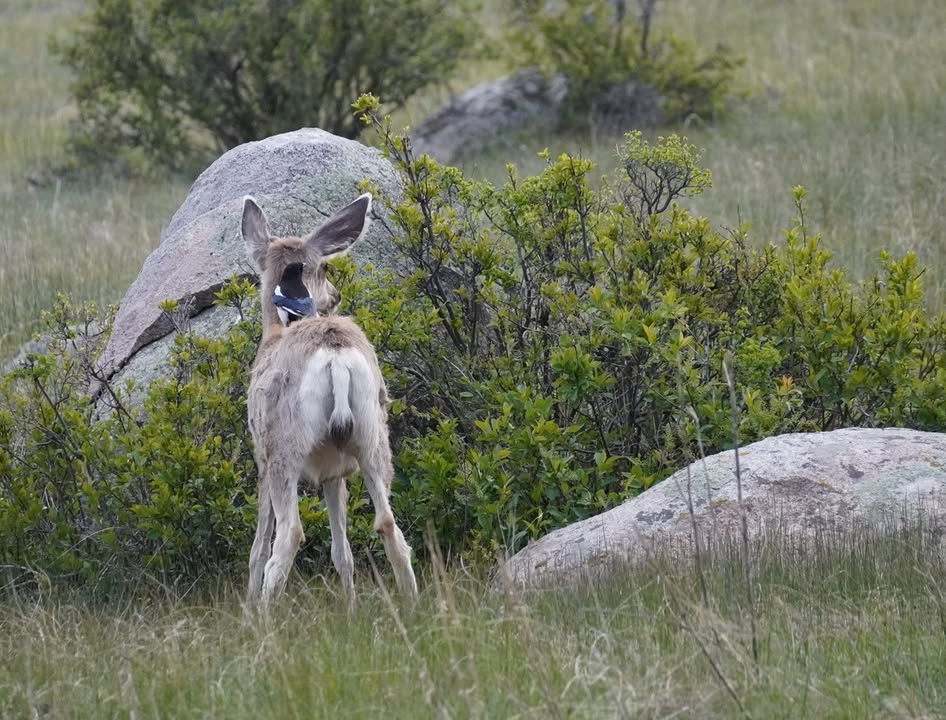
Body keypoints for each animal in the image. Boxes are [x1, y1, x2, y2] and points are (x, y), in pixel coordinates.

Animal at [241, 192, 418, 608]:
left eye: (322, 267)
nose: (336, 296)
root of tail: (334, 355)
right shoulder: (333, 472)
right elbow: (342, 552)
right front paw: (350, 606)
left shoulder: (261, 457)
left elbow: (258, 543)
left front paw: (248, 603)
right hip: (372, 438)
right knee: (390, 525)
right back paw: (413, 605)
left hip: (284, 448)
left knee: (288, 535)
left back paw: (264, 615)